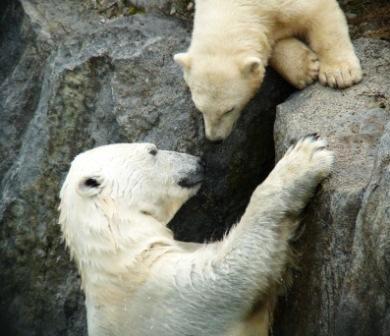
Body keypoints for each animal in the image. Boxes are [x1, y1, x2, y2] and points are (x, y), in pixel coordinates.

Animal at [59, 135, 334, 334]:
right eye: (153, 150)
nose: (199, 161)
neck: (120, 247)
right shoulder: (165, 297)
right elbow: (228, 275)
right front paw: (305, 157)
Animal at [175, 0, 362, 140]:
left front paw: (339, 74)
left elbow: (319, 14)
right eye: (200, 108)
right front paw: (305, 68)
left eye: (229, 109)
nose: (215, 139)